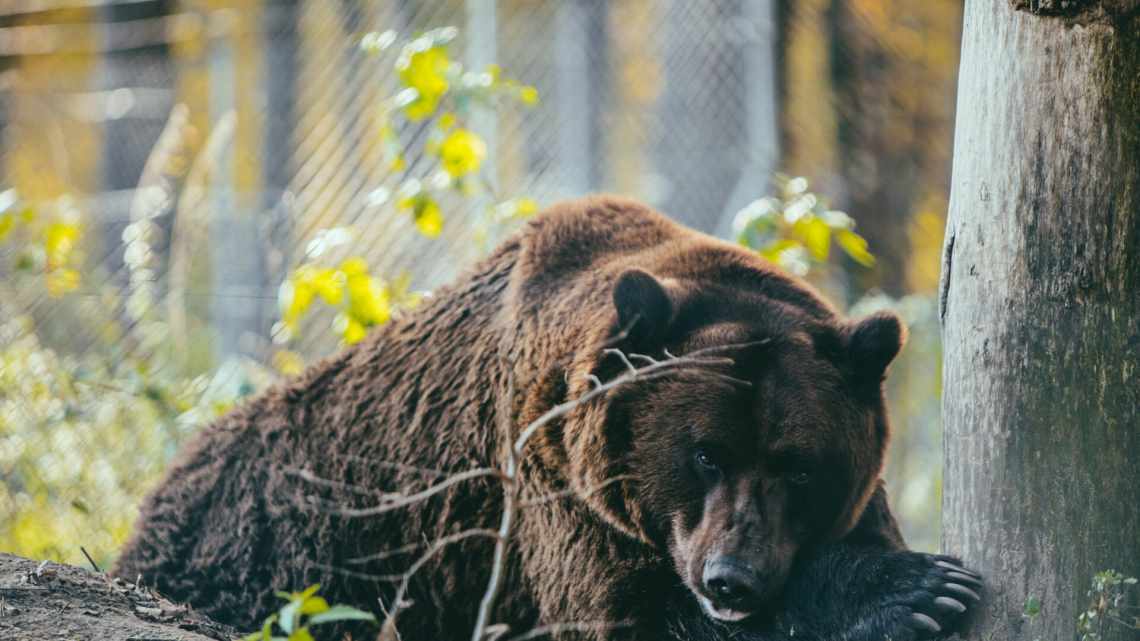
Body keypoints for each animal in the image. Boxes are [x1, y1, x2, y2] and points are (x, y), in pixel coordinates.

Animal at [117, 196, 989, 638]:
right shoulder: (550, 491)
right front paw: (913, 589)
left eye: (798, 466)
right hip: (282, 550)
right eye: (704, 453)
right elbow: (632, 619)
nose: (731, 578)